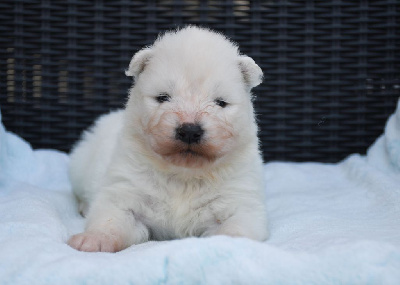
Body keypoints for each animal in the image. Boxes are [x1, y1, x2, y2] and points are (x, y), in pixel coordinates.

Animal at [67, 25, 268, 251]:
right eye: (163, 97)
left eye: (221, 102)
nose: (189, 130)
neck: (183, 176)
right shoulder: (124, 191)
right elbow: (110, 219)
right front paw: (92, 239)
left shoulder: (241, 201)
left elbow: (235, 228)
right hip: (81, 165)